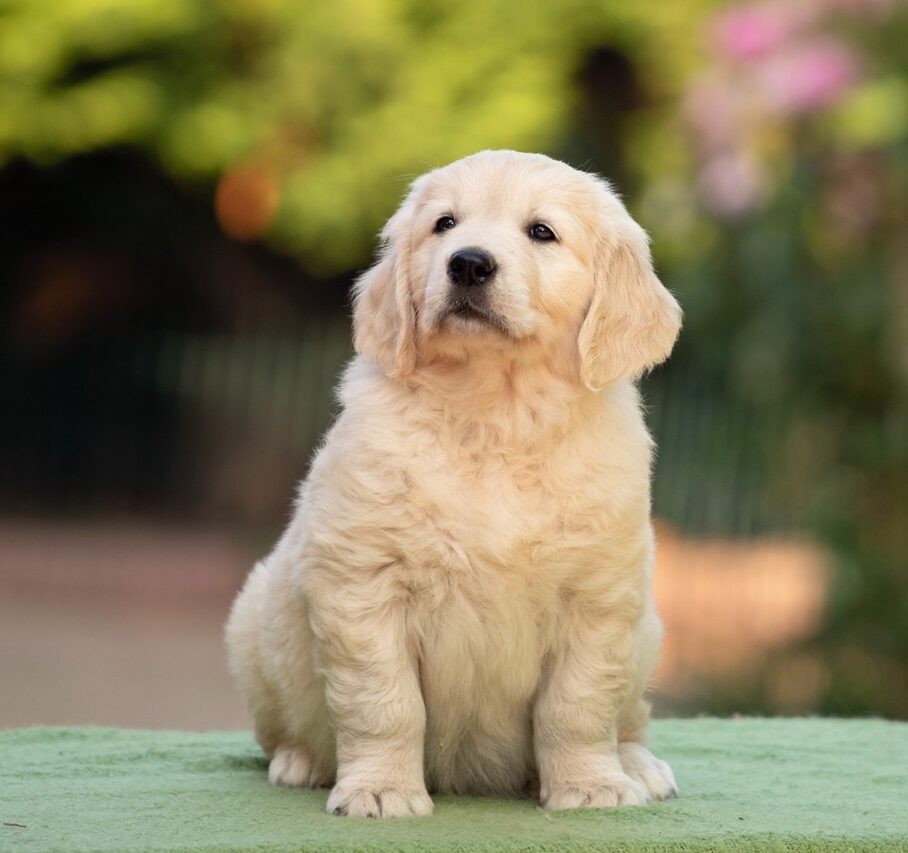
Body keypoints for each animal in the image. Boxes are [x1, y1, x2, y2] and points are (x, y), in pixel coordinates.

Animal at [227, 150, 680, 816]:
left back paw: (636, 766)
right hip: (255, 626)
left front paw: (590, 786)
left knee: (630, 719)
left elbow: (576, 707)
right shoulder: (363, 585)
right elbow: (385, 704)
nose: (467, 262)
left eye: (542, 231)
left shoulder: (597, 597)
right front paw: (382, 789)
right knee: (283, 728)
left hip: (646, 632)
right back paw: (301, 761)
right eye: (444, 224)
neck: (493, 412)